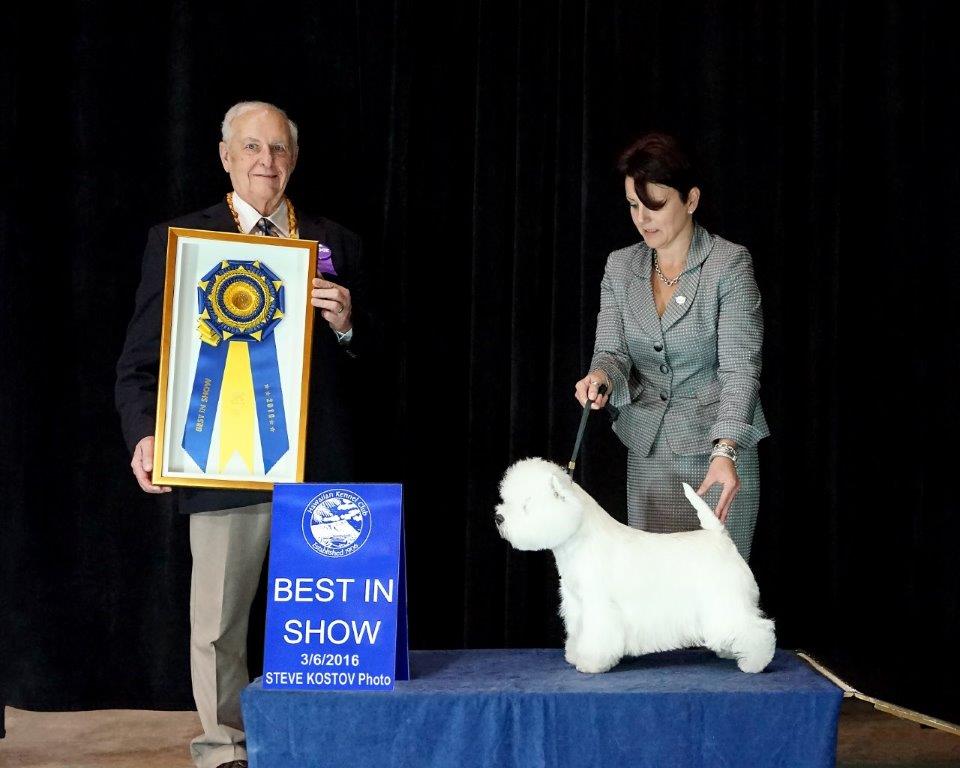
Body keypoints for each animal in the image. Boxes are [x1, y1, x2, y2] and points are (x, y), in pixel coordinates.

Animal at [492, 460, 776, 676]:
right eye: (507, 498)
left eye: (527, 503)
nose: (498, 517)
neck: (578, 538)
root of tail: (720, 536)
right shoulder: (576, 603)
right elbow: (578, 630)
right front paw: (575, 654)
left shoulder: (598, 605)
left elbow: (597, 634)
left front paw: (590, 663)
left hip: (725, 600)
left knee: (757, 629)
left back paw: (754, 663)